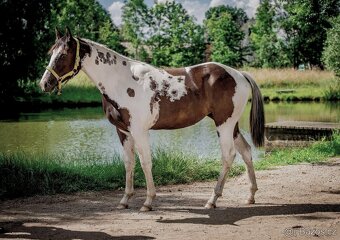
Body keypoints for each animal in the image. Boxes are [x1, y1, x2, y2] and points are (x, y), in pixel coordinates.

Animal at [39, 28, 262, 212]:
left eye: (63, 54)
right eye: (51, 53)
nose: (45, 84)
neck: (121, 81)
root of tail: (238, 74)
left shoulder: (139, 131)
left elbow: (145, 162)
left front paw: (148, 202)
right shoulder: (123, 132)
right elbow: (129, 163)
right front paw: (125, 200)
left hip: (224, 125)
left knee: (228, 156)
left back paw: (212, 200)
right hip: (231, 126)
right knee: (246, 151)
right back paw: (250, 196)